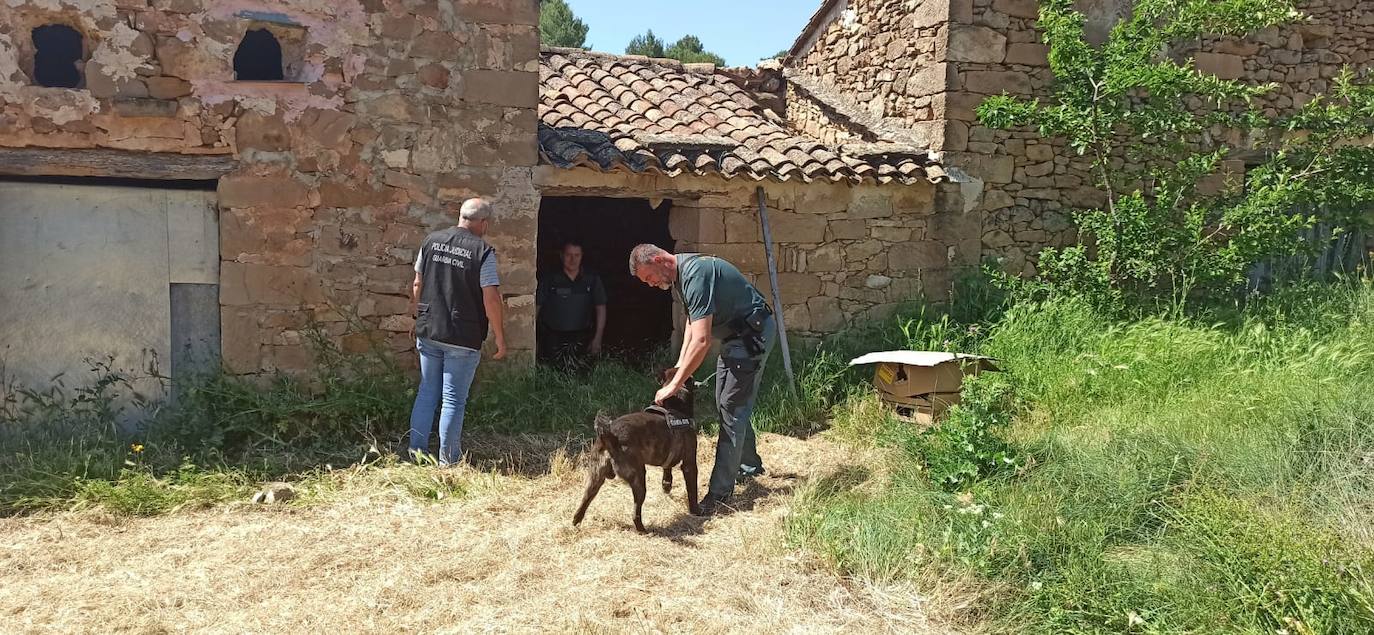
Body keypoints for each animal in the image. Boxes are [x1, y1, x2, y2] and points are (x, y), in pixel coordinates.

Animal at [568, 368, 697, 530]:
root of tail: (609, 437)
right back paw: (643, 529)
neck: (673, 407)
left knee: (584, 502)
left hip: (595, 477)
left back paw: (576, 521)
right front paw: (696, 511)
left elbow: (667, 472)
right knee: (635, 512)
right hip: (638, 478)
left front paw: (666, 487)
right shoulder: (690, 463)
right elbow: (692, 490)